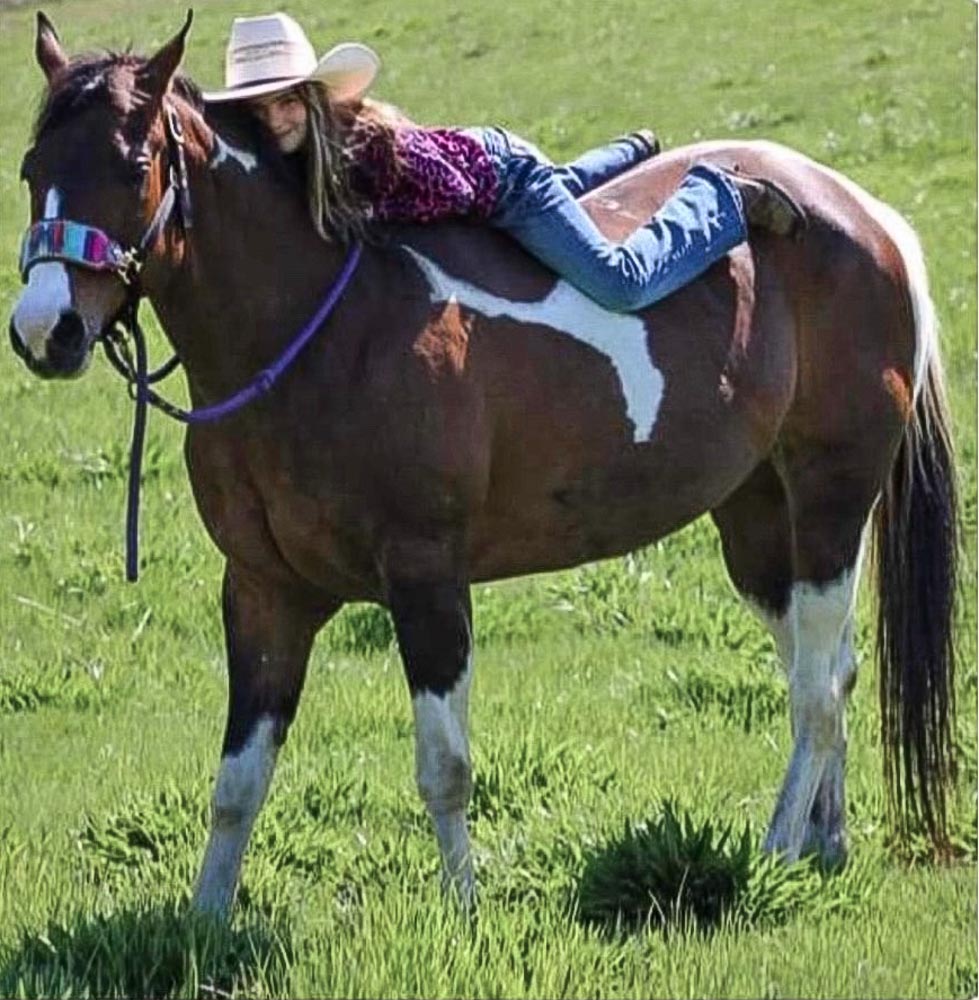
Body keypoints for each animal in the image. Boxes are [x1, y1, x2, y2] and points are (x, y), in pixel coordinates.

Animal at [7, 11, 956, 916]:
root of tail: (867, 218)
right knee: (826, 668)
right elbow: (238, 782)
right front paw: (204, 922)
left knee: (814, 693)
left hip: (831, 499)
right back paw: (821, 845)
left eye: (133, 166)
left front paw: (463, 913)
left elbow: (445, 767)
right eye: (29, 168)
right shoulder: (262, 592)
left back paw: (773, 852)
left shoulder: (426, 579)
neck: (320, 332)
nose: (45, 330)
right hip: (758, 521)